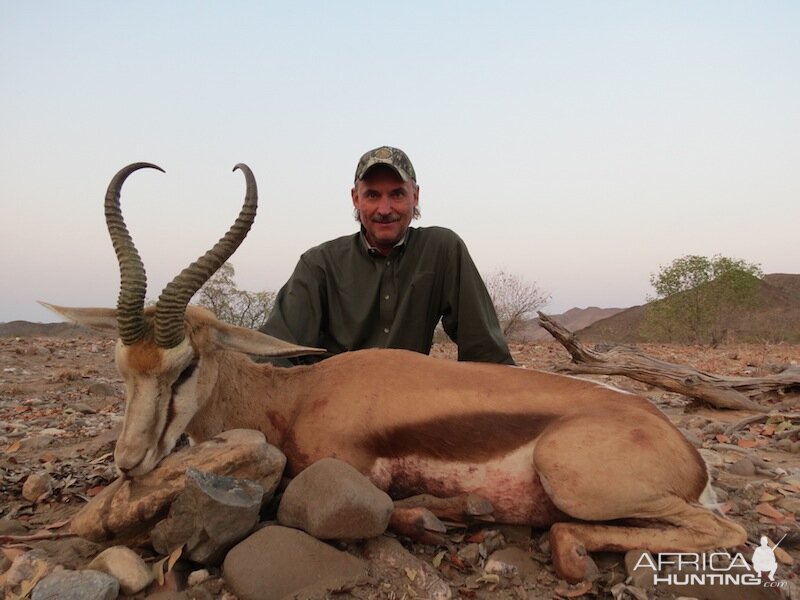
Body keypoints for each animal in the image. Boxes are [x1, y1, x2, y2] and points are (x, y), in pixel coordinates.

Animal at [47, 163, 748, 580]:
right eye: (121, 366)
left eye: (186, 366)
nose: (130, 461)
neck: (297, 396)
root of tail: (687, 449)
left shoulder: (346, 470)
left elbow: (368, 508)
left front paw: (441, 516)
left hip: (575, 480)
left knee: (725, 530)